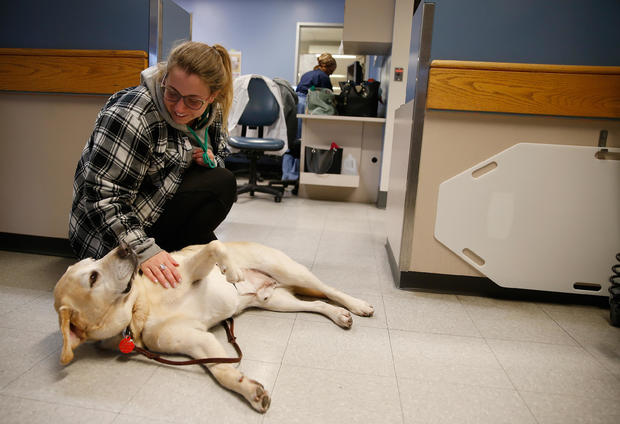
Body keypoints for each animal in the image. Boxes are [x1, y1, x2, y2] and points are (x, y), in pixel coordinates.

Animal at [53, 240, 372, 412]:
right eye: (92, 278)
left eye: (93, 260)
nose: (125, 246)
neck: (139, 306)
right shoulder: (197, 342)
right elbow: (222, 371)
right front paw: (249, 390)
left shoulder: (190, 268)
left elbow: (214, 245)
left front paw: (231, 271)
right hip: (277, 301)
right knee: (317, 304)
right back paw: (339, 315)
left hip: (290, 270)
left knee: (329, 290)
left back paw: (356, 305)